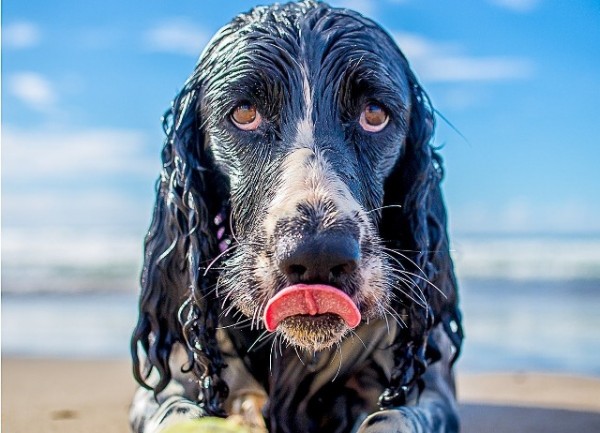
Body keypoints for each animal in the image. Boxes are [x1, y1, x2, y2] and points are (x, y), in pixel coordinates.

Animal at [129, 1, 462, 430]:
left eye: (374, 114)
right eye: (244, 113)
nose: (318, 255)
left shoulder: (432, 391)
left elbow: (391, 417)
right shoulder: (168, 385)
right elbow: (178, 412)